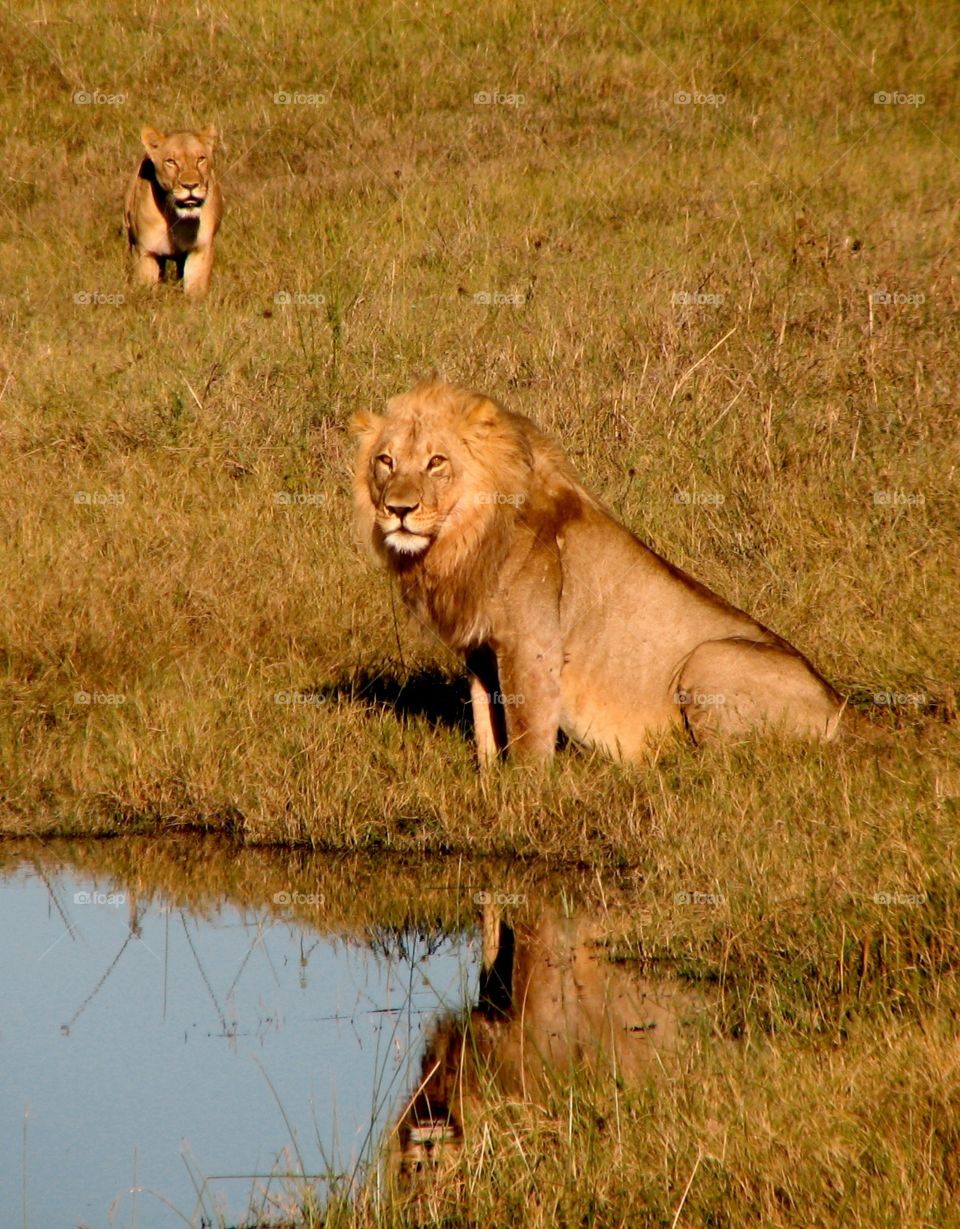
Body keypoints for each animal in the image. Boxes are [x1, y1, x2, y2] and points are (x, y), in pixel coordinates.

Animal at [124, 124, 222, 297]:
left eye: (200, 159)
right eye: (171, 162)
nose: (190, 185)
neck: (176, 219)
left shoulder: (201, 249)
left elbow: (195, 289)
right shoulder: (145, 252)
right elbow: (146, 288)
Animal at [352, 378, 844, 765]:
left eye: (436, 461)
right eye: (385, 461)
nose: (398, 510)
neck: (461, 542)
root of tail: (846, 712)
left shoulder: (532, 646)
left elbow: (527, 734)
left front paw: (521, 795)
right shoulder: (480, 651)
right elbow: (485, 724)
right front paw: (488, 780)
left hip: (709, 658)